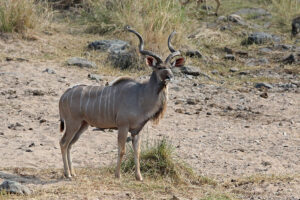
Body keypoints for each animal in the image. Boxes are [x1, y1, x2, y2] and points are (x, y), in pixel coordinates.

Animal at [58, 25, 185, 180]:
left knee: (70, 144)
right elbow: (122, 150)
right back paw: (67, 174)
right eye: (160, 67)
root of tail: (64, 96)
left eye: (171, 67)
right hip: (72, 123)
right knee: (63, 143)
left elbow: (137, 151)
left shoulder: (137, 130)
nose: (169, 77)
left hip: (83, 125)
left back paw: (73, 172)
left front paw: (139, 177)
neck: (141, 95)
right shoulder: (123, 126)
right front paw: (117, 175)